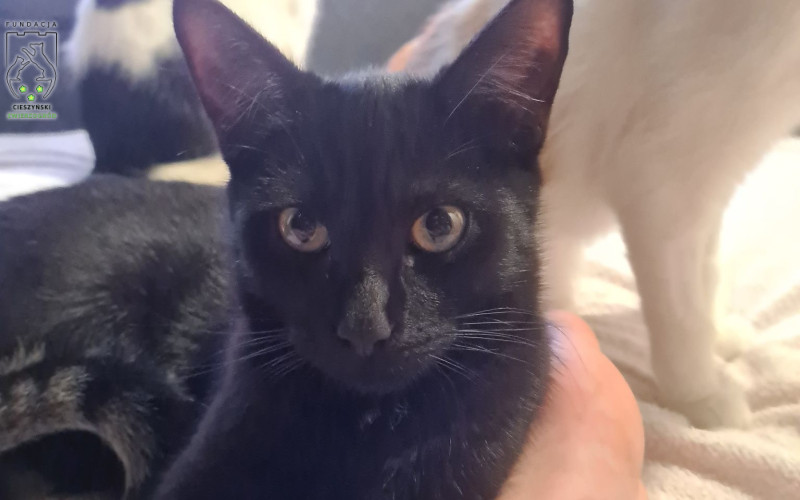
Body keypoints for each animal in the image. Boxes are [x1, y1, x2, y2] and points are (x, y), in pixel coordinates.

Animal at [388, 0, 800, 428]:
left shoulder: (711, 184)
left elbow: (708, 274)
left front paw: (718, 335)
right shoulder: (661, 187)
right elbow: (682, 315)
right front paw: (702, 395)